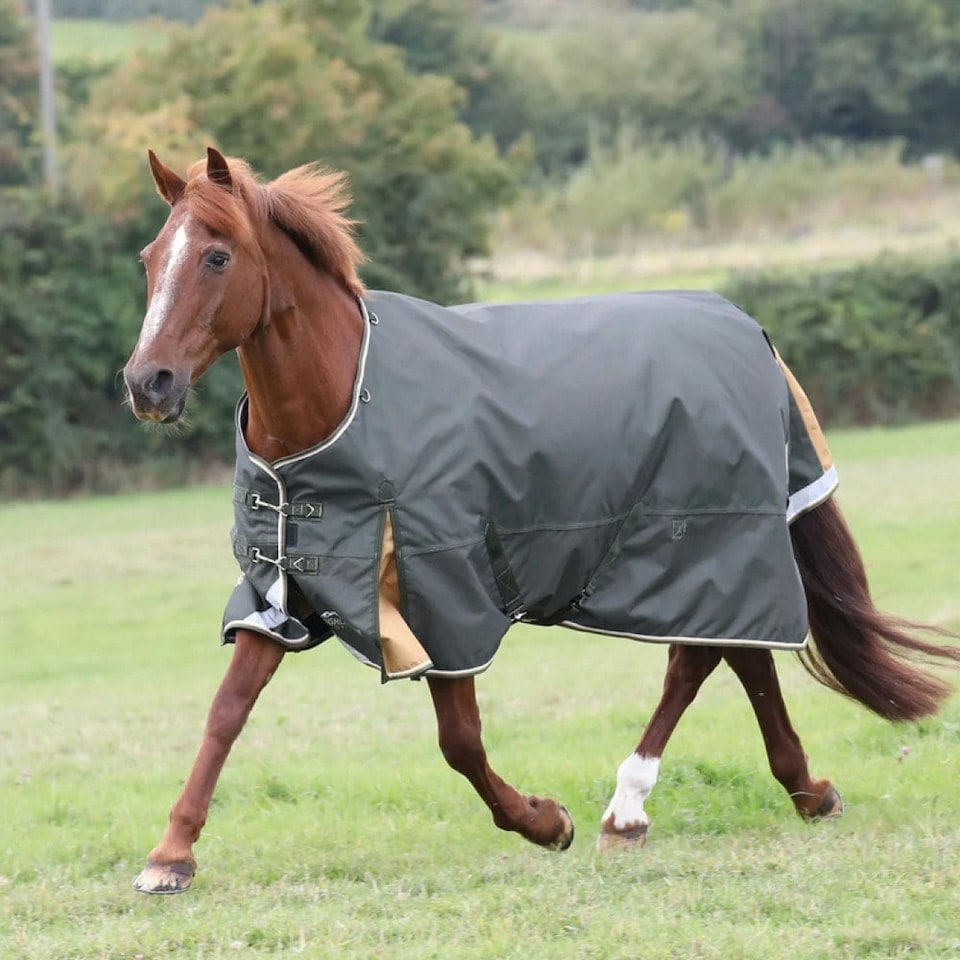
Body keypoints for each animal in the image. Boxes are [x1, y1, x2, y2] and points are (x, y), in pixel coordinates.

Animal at [123, 147, 958, 895]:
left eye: (217, 257)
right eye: (150, 257)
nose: (147, 382)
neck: (342, 408)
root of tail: (747, 328)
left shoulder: (444, 591)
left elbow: (459, 742)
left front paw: (545, 821)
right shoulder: (284, 590)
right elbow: (226, 712)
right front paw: (171, 855)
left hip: (699, 538)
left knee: (698, 660)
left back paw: (630, 809)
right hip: (711, 551)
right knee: (738, 650)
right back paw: (800, 791)